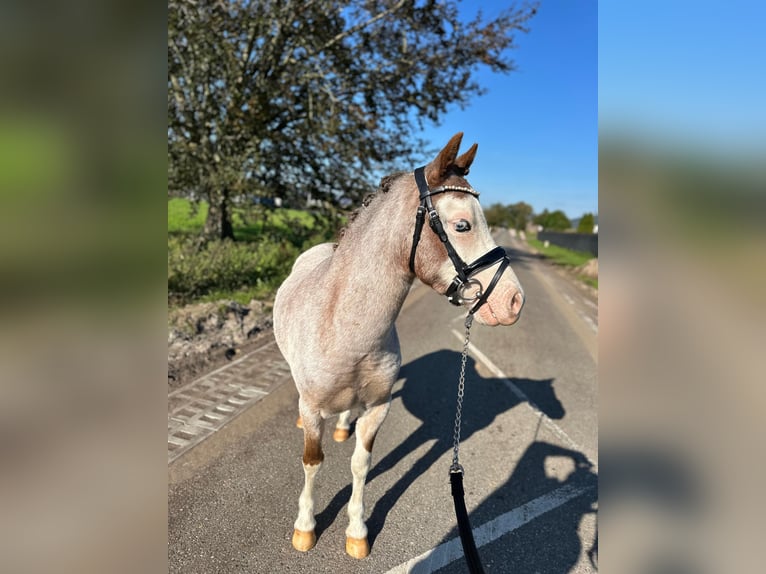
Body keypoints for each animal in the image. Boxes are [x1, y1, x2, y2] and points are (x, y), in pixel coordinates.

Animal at [272, 134, 524, 560]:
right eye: (462, 224)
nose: (514, 301)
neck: (344, 329)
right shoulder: (315, 410)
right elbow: (312, 462)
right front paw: (305, 527)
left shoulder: (378, 408)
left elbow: (361, 464)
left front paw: (357, 532)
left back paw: (343, 426)